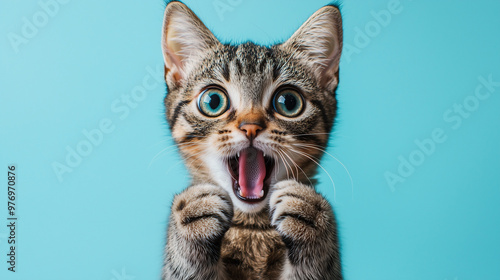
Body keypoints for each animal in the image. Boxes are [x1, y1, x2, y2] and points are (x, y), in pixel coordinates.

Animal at [161, 1, 344, 278]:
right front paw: (191, 218)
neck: (252, 226)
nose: (250, 127)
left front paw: (311, 215)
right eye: (213, 101)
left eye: (289, 102)